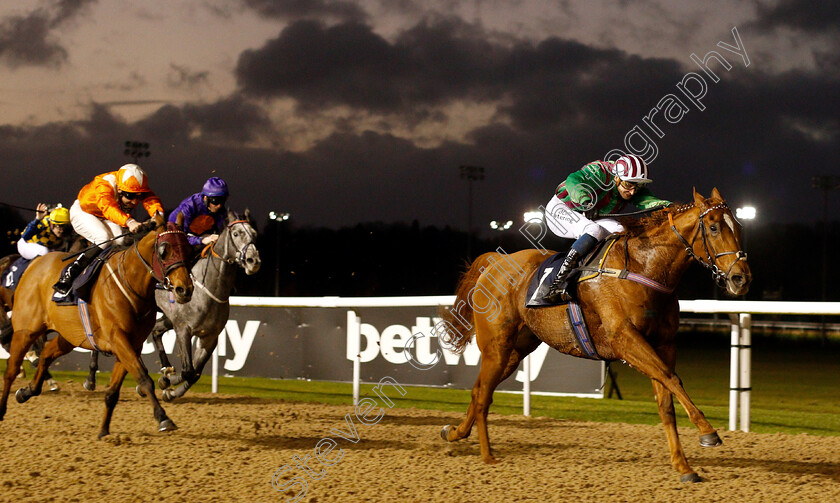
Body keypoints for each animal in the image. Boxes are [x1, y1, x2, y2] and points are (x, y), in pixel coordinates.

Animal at [0, 215, 192, 440]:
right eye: (163, 250)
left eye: (188, 248)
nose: (185, 289)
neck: (129, 281)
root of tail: (35, 264)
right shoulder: (118, 338)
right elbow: (144, 379)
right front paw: (163, 418)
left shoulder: (132, 345)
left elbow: (113, 392)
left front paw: (104, 431)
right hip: (26, 330)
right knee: (11, 369)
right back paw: (4, 407)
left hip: (69, 336)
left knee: (46, 352)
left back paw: (27, 391)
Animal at [84, 211, 260, 400]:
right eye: (236, 233)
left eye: (254, 234)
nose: (253, 261)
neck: (210, 289)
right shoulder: (183, 328)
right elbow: (188, 370)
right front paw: (167, 381)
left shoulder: (210, 337)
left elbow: (195, 373)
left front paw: (171, 390)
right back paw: (91, 377)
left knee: (155, 331)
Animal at [436, 189, 752, 484]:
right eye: (713, 227)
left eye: (738, 227)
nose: (741, 278)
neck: (644, 266)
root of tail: (494, 262)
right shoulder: (625, 339)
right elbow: (672, 379)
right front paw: (708, 432)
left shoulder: (663, 343)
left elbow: (666, 401)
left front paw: (683, 466)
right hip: (497, 346)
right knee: (483, 394)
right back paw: (487, 455)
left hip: (515, 350)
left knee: (479, 390)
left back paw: (454, 433)